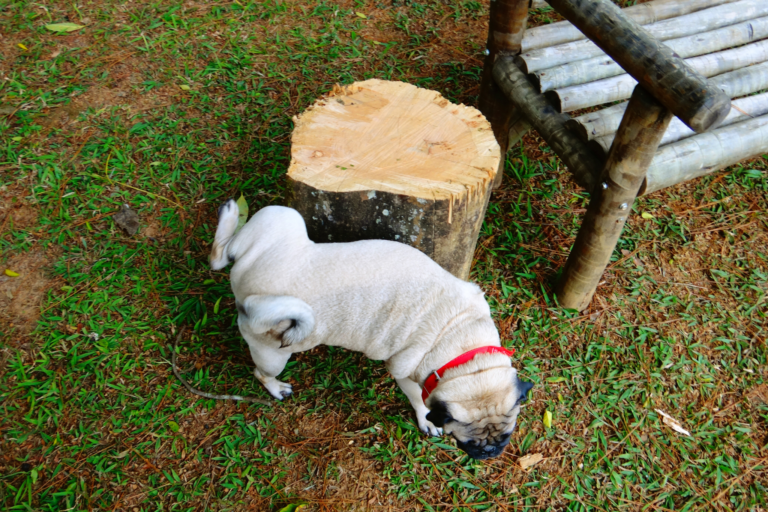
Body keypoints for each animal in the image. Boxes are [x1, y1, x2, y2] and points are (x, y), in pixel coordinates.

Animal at [210, 200, 536, 460]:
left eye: (506, 435)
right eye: (468, 440)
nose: (490, 452)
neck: (462, 346)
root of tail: (247, 281)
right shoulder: (407, 374)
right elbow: (419, 401)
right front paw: (427, 420)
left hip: (280, 219)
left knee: (222, 255)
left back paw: (229, 214)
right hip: (272, 350)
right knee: (261, 371)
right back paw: (276, 388)